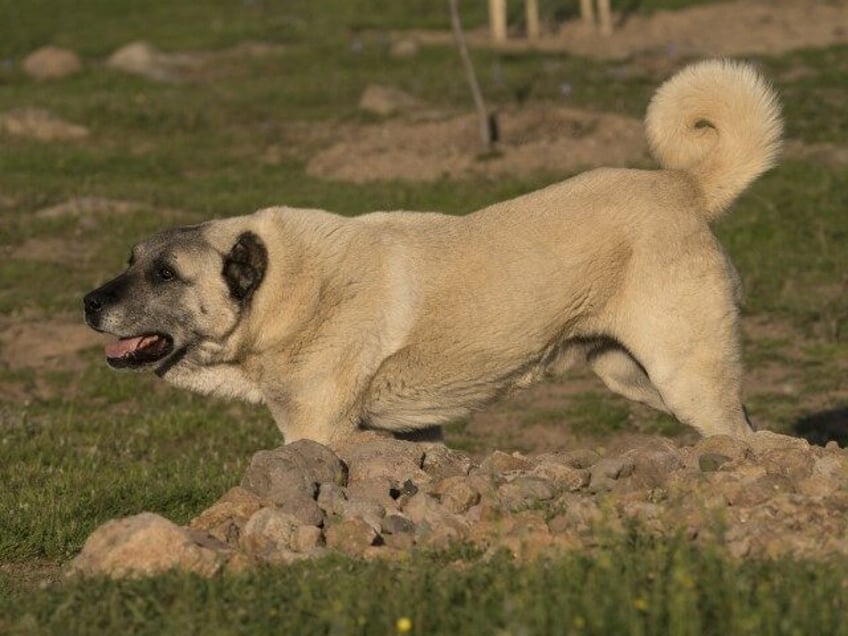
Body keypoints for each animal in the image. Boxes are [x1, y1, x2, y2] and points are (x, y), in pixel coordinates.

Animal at [84, 62, 780, 444]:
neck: (288, 290)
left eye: (165, 273)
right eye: (130, 258)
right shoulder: (410, 429)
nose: (87, 303)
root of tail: (682, 186)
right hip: (637, 377)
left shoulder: (317, 431)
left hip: (686, 377)